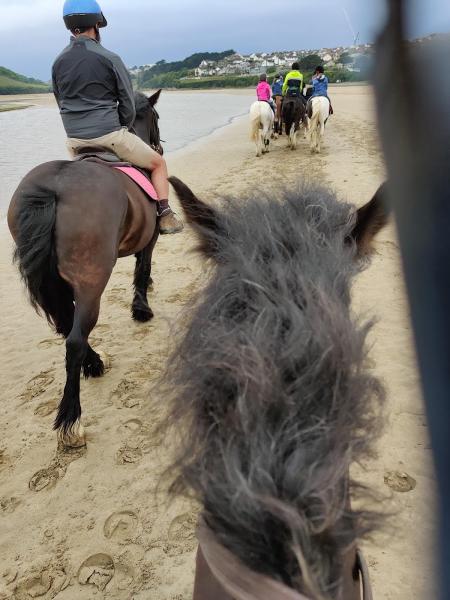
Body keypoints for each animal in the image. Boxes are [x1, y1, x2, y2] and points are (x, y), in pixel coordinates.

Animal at [7, 88, 163, 446]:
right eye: (157, 117)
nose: (158, 148)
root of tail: (54, 187)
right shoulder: (149, 240)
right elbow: (142, 270)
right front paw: (141, 308)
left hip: (56, 283)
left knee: (67, 325)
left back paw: (93, 364)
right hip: (92, 281)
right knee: (74, 339)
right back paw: (71, 418)